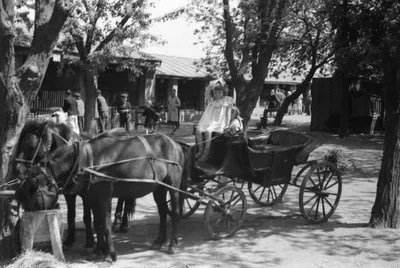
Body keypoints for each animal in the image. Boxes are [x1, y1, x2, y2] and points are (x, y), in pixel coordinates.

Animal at [14, 120, 134, 248]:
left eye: (32, 146)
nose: (19, 169)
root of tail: (124, 131)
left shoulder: (87, 195)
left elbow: (86, 217)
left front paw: (89, 242)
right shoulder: (69, 194)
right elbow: (71, 215)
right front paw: (69, 240)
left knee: (125, 198)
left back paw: (122, 224)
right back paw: (117, 221)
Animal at [19, 133, 192, 262]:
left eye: (33, 190)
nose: (27, 215)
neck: (88, 160)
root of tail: (175, 143)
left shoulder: (104, 196)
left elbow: (106, 225)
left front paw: (110, 254)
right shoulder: (93, 198)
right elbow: (98, 223)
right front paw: (99, 250)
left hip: (173, 185)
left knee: (175, 212)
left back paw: (172, 244)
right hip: (159, 188)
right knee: (162, 212)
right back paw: (159, 241)